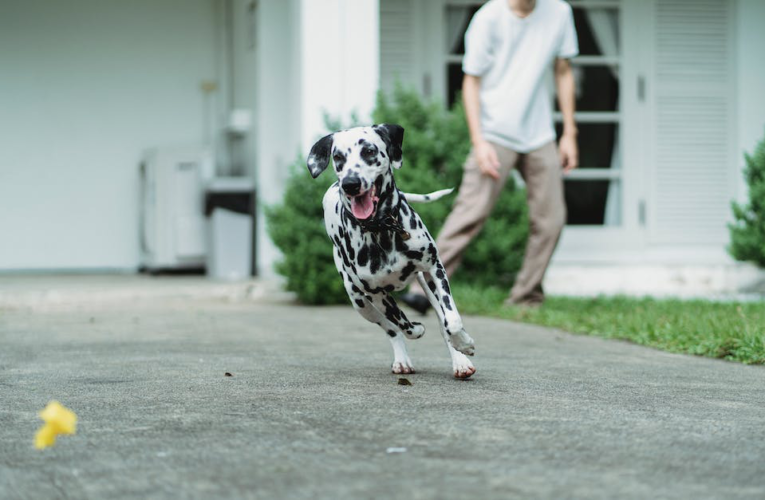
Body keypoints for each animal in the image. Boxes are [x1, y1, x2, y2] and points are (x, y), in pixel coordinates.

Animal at [306, 124, 474, 378]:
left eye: (369, 151)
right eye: (338, 157)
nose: (350, 183)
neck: (383, 229)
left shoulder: (435, 269)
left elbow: (451, 320)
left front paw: (463, 344)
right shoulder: (376, 293)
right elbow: (402, 324)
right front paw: (416, 328)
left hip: (425, 284)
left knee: (442, 321)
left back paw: (460, 360)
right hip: (359, 301)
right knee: (391, 329)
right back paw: (402, 359)